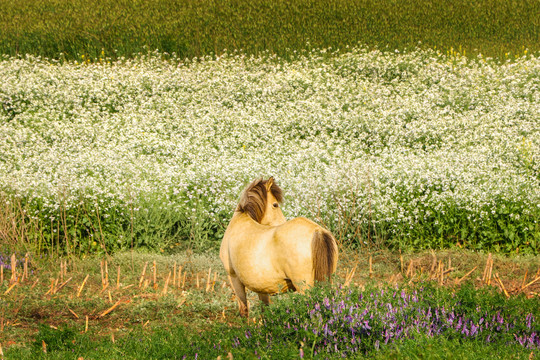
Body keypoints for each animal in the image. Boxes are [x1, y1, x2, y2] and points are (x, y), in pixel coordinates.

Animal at [219, 179, 338, 316]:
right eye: (275, 205)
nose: (282, 222)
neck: (241, 218)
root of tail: (317, 231)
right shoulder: (261, 287)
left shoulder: (234, 278)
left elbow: (244, 310)